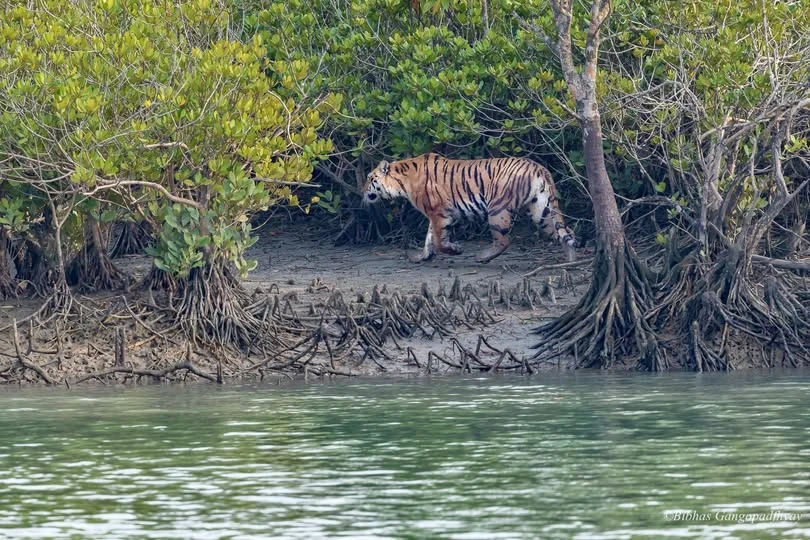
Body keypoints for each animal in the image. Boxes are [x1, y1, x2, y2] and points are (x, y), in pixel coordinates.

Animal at [362, 153, 576, 264]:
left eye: (370, 178)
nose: (361, 191)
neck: (402, 181)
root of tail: (539, 168)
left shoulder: (440, 212)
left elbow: (438, 240)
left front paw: (455, 250)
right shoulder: (436, 214)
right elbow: (429, 237)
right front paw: (422, 256)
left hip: (497, 210)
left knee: (504, 241)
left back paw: (482, 257)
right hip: (541, 209)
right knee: (566, 232)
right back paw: (570, 260)